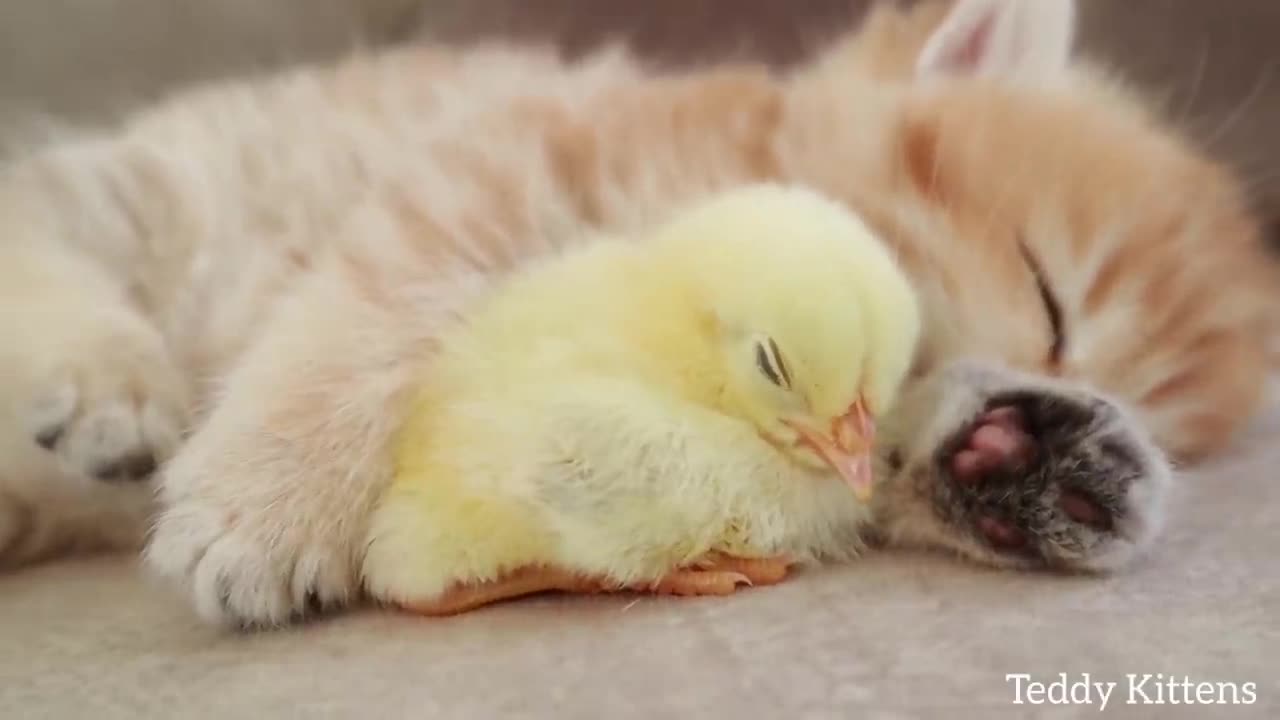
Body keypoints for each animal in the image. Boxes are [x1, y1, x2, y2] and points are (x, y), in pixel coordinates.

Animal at [0, 0, 1274, 627]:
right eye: (1047, 293)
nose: (1044, 393)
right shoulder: (499, 165)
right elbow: (379, 301)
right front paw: (269, 500)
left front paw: (1041, 460)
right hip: (173, 186)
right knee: (38, 211)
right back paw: (109, 381)